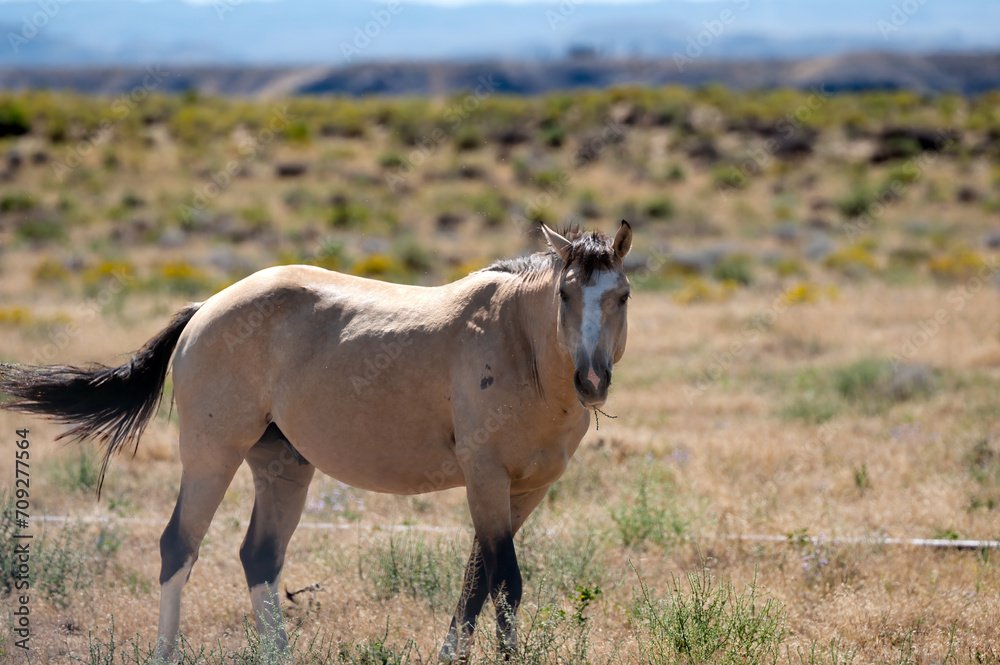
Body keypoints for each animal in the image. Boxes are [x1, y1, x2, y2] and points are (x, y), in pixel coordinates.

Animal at [1, 222, 632, 660]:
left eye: (621, 296)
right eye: (566, 296)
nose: (592, 382)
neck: (517, 343)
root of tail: (206, 307)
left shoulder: (525, 491)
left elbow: (479, 579)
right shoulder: (486, 480)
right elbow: (505, 583)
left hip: (283, 464)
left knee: (259, 556)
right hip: (211, 454)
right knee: (179, 547)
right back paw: (165, 655)